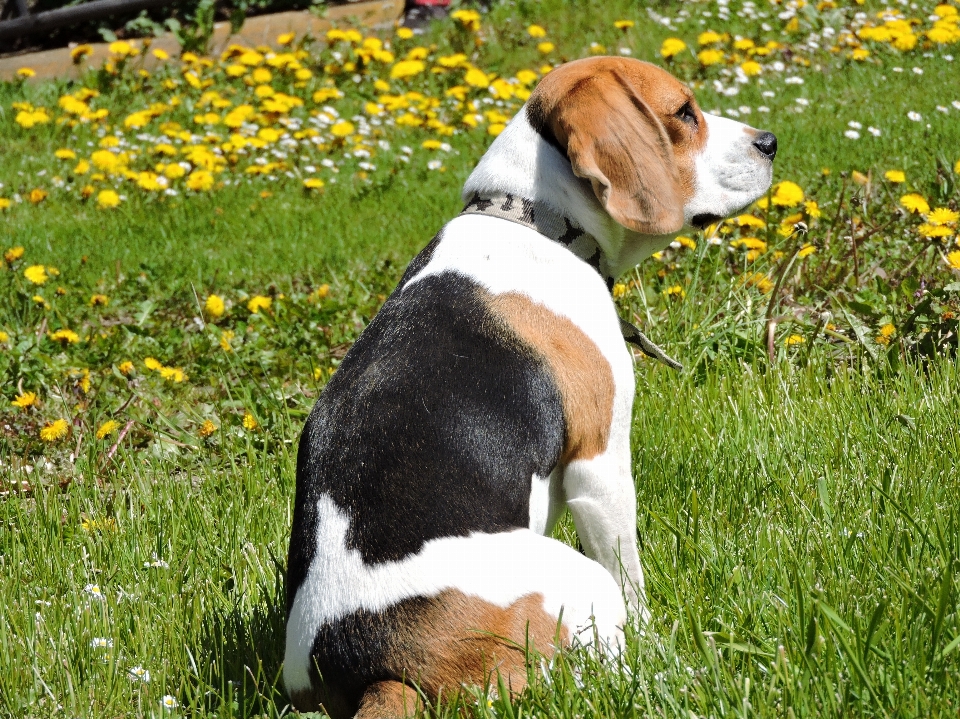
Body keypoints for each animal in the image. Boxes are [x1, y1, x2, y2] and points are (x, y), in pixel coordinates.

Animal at [282, 57, 776, 719]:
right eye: (683, 113)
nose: (770, 142)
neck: (534, 221)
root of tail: (384, 671)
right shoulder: (600, 466)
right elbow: (632, 577)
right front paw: (657, 635)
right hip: (578, 580)